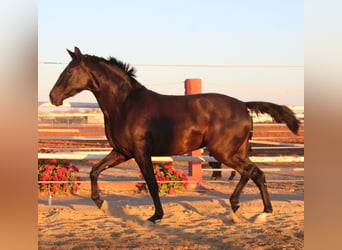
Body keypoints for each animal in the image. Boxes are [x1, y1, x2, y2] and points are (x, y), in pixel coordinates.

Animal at [48, 47, 300, 224]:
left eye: (69, 71)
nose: (53, 96)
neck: (126, 105)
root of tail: (243, 105)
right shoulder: (121, 152)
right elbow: (94, 171)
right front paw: (102, 204)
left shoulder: (140, 152)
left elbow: (151, 183)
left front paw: (155, 216)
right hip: (234, 151)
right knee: (254, 173)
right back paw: (249, 210)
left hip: (223, 152)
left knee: (253, 172)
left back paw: (249, 210)